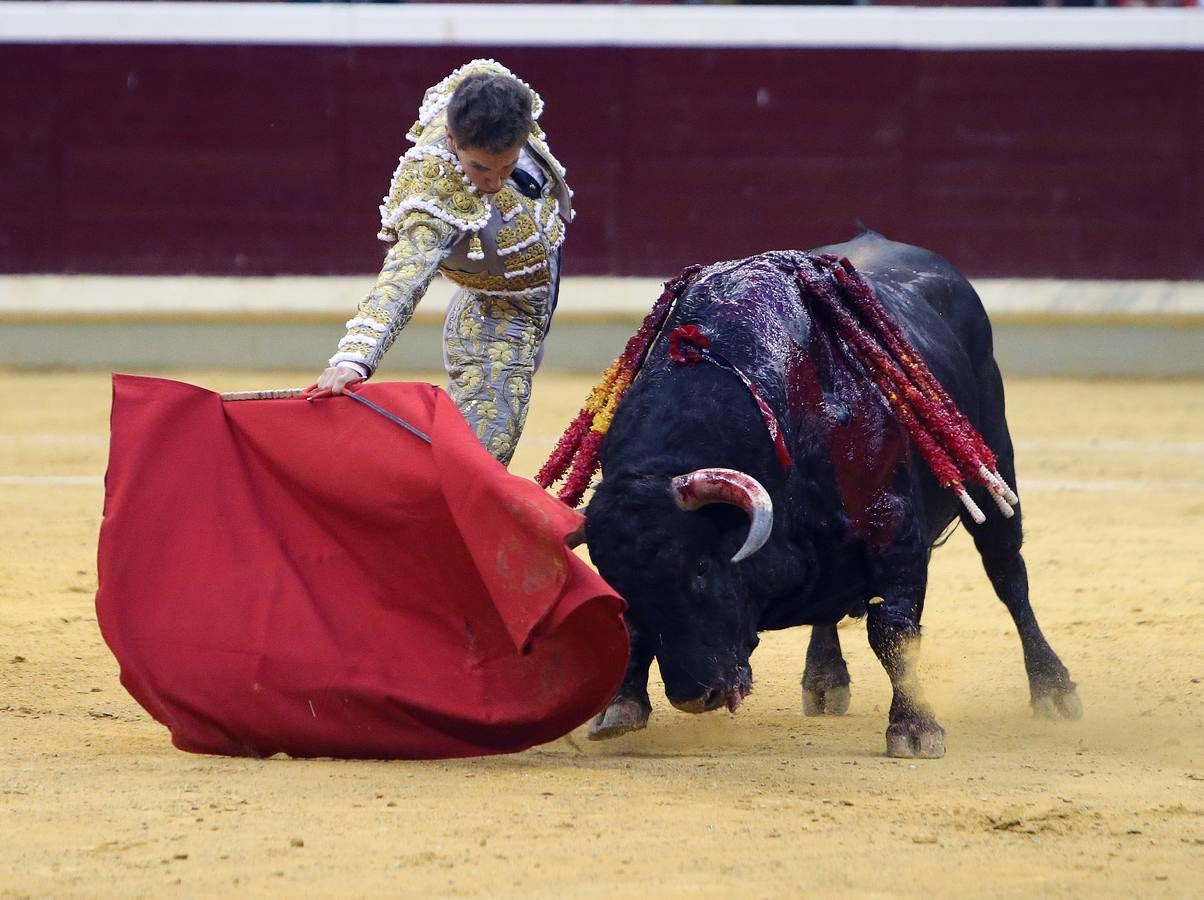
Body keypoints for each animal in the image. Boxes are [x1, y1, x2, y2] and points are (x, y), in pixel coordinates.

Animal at [582, 232, 1083, 760]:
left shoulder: (894, 533)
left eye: (700, 567)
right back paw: (824, 678)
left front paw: (914, 728)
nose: (693, 696)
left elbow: (893, 633)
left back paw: (1053, 688)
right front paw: (620, 706)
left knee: (1008, 573)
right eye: (617, 581)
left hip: (994, 459)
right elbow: (633, 630)